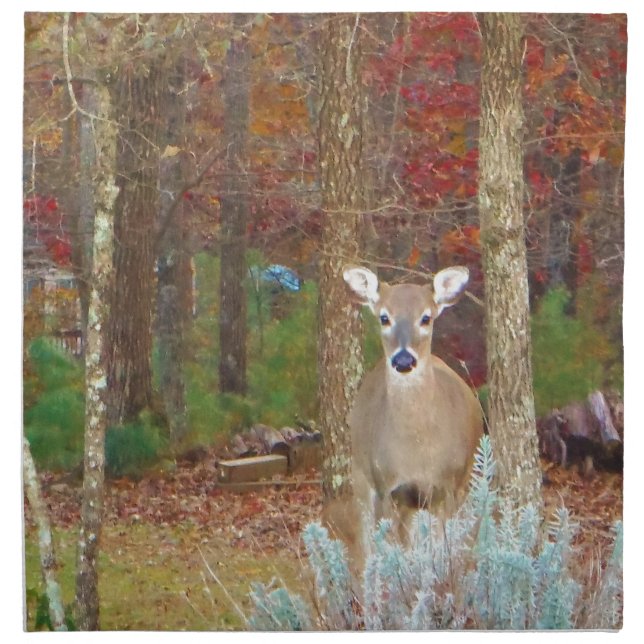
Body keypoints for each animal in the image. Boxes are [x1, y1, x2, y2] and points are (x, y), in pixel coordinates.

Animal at [322, 265, 484, 576]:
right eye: (384, 317)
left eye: (426, 317)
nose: (404, 360)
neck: (418, 451)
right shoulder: (389, 488)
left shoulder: (448, 487)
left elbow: (444, 558)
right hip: (363, 478)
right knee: (365, 550)